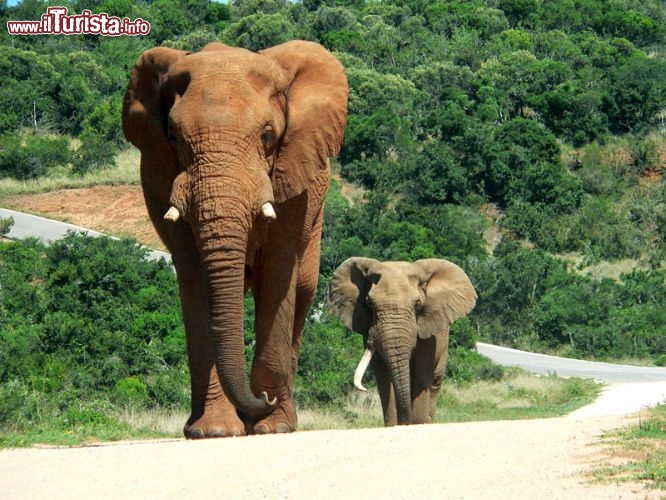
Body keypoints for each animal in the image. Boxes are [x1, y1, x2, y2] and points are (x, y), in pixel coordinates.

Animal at [121, 42, 348, 438]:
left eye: (268, 137)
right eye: (174, 139)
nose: (263, 398)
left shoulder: (294, 183)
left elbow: (277, 275)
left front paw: (271, 427)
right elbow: (196, 282)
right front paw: (214, 432)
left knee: (302, 291)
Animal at [324, 258, 474, 426]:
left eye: (418, 304)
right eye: (369, 304)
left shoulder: (429, 336)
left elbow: (422, 375)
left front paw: (417, 423)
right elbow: (383, 376)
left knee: (434, 383)